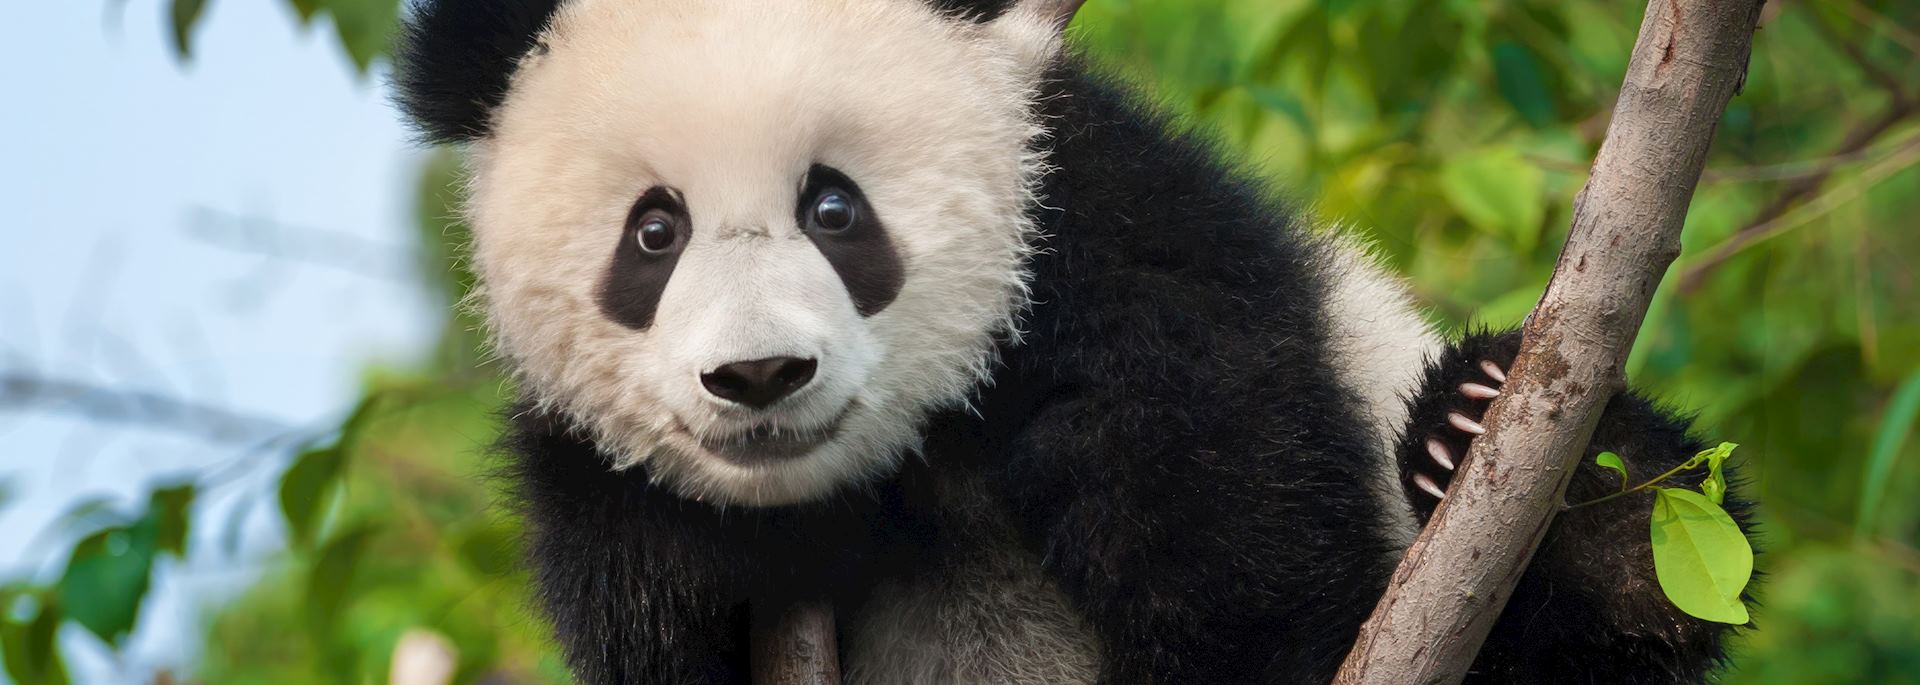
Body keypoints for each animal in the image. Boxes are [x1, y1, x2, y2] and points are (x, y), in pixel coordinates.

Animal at [389, 0, 1758, 679]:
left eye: (835, 208)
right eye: (653, 231)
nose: (761, 376)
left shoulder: (1123, 249)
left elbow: (1246, 560)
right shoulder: (583, 468)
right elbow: (643, 601)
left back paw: (1541, 468)